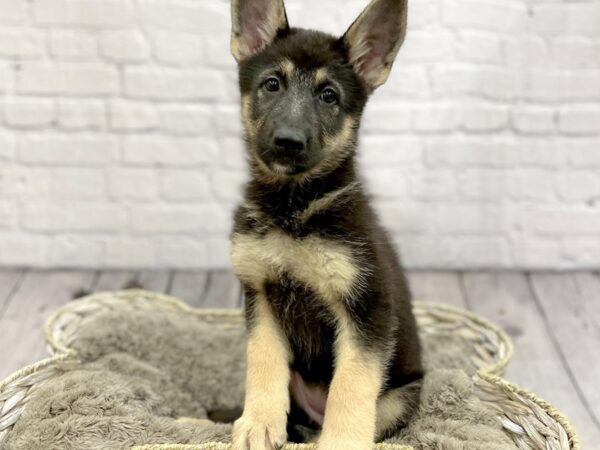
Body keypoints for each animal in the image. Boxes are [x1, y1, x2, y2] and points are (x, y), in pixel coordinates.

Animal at [229, 1, 422, 448]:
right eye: (272, 84)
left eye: (328, 95)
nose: (288, 141)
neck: (293, 209)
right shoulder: (260, 294)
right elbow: (263, 362)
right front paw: (259, 422)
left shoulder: (366, 308)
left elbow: (351, 385)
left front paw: (342, 441)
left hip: (400, 398)